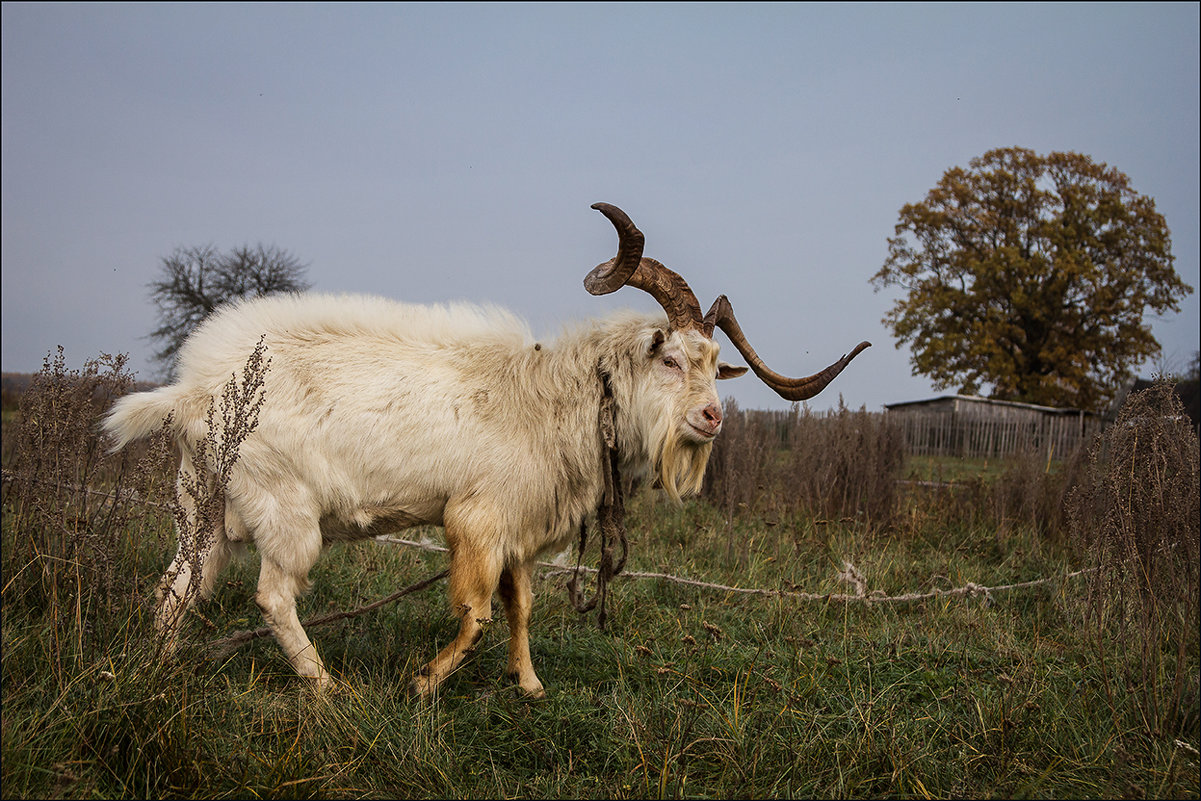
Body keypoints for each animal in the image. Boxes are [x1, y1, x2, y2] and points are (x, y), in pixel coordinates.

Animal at [103, 201, 869, 696]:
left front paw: (527, 684)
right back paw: (324, 687)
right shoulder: (477, 519)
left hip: (201, 507)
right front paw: (423, 682)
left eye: (715, 363)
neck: (552, 395)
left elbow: (520, 603)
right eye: (671, 358)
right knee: (272, 596)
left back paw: (155, 671)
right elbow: (475, 611)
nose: (711, 418)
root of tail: (195, 390)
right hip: (284, 508)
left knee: (177, 587)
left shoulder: (519, 529)